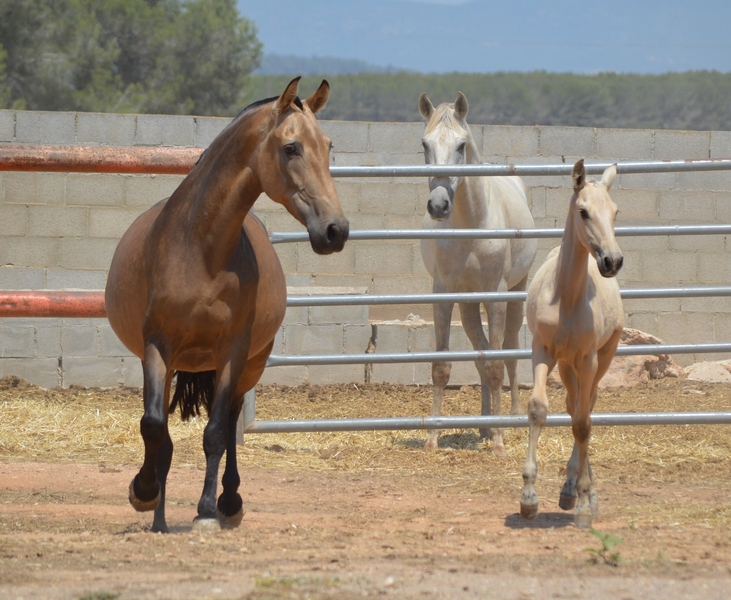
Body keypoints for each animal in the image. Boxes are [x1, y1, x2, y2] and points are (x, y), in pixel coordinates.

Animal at [105, 77, 349, 533]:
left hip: (248, 363)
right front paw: (143, 493)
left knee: (232, 416)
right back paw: (160, 515)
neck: (202, 250)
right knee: (162, 429)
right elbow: (154, 427)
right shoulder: (157, 345)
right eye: (291, 148)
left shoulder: (232, 350)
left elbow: (216, 431)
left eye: (328, 146)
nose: (335, 230)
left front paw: (206, 511)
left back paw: (228, 501)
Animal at [418, 92, 537, 455]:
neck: (471, 224)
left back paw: (509, 417)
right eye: (425, 144)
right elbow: (442, 365)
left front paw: (499, 441)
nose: (438, 205)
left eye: (461, 145)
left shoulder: (496, 295)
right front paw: (433, 437)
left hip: (515, 293)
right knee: (481, 352)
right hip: (469, 304)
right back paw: (485, 424)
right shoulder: (444, 294)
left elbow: (497, 363)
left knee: (508, 349)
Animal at [520, 159, 623, 529]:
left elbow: (583, 423)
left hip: (601, 358)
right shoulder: (541, 351)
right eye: (583, 211)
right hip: (566, 366)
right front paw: (528, 498)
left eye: (615, 212)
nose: (612, 261)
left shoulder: (589, 358)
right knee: (573, 405)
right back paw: (568, 489)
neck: (565, 297)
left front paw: (584, 505)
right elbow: (539, 409)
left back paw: (583, 493)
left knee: (585, 410)